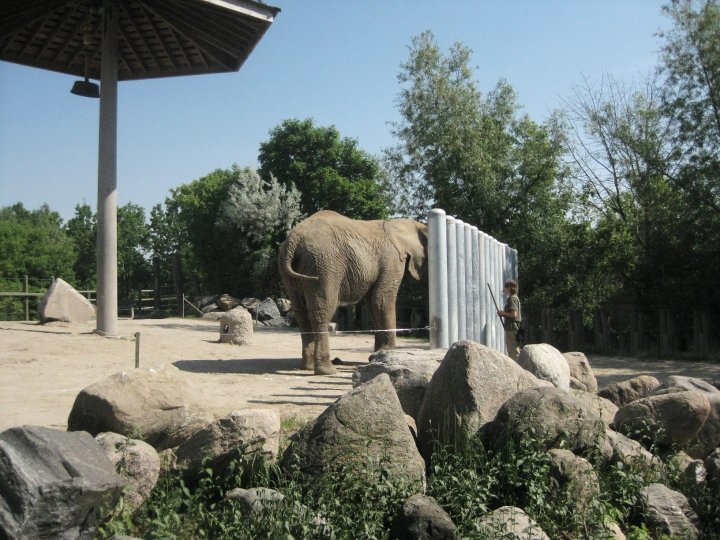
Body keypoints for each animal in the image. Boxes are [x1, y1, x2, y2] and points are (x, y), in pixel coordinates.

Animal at [278, 210, 428, 375]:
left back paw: (308, 367)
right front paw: (386, 355)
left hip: (292, 272)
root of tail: (294, 238)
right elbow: (381, 300)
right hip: (323, 265)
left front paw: (376, 357)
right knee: (322, 312)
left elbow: (372, 304)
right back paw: (327, 370)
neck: (400, 224)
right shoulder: (391, 260)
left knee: (301, 313)